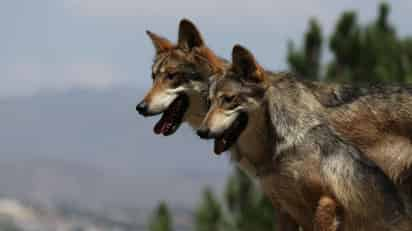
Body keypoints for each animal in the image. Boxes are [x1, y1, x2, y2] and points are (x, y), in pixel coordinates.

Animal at [196, 44, 412, 230]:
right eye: (209, 102)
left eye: (228, 99)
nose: (201, 132)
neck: (277, 149)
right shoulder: (284, 211)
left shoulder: (326, 202)